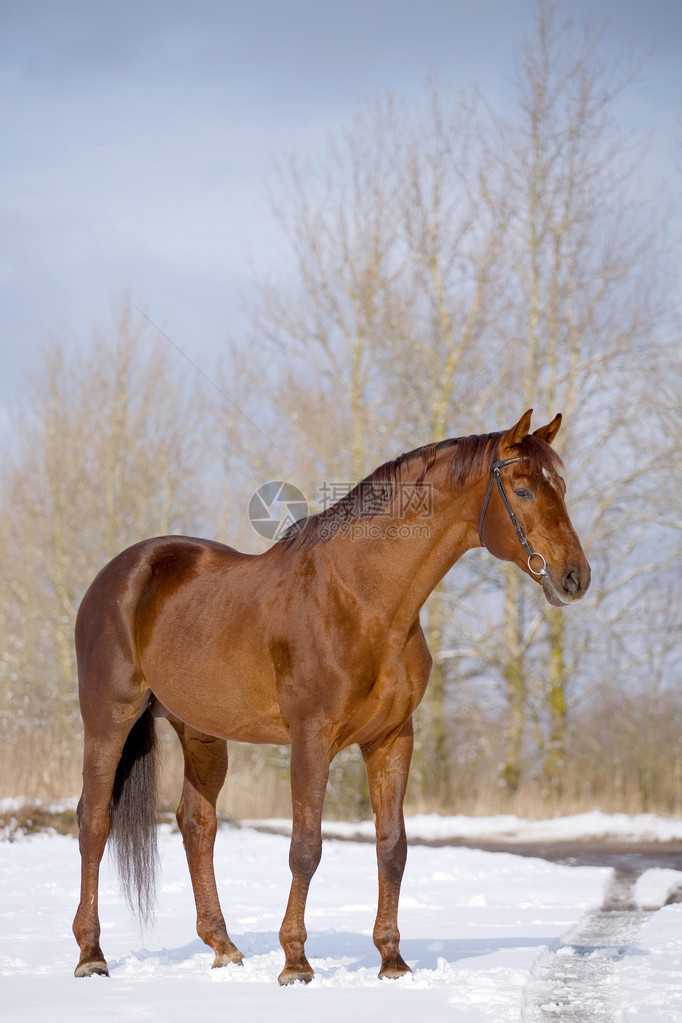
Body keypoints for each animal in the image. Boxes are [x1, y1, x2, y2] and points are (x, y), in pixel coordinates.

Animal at [72, 407, 588, 982]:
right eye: (522, 489)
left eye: (562, 486)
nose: (575, 576)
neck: (363, 600)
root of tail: (117, 575)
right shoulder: (311, 739)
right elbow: (306, 847)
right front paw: (296, 961)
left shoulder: (392, 739)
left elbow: (392, 846)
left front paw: (392, 960)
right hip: (108, 720)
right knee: (94, 821)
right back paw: (91, 953)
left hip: (201, 732)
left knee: (196, 824)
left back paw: (223, 947)